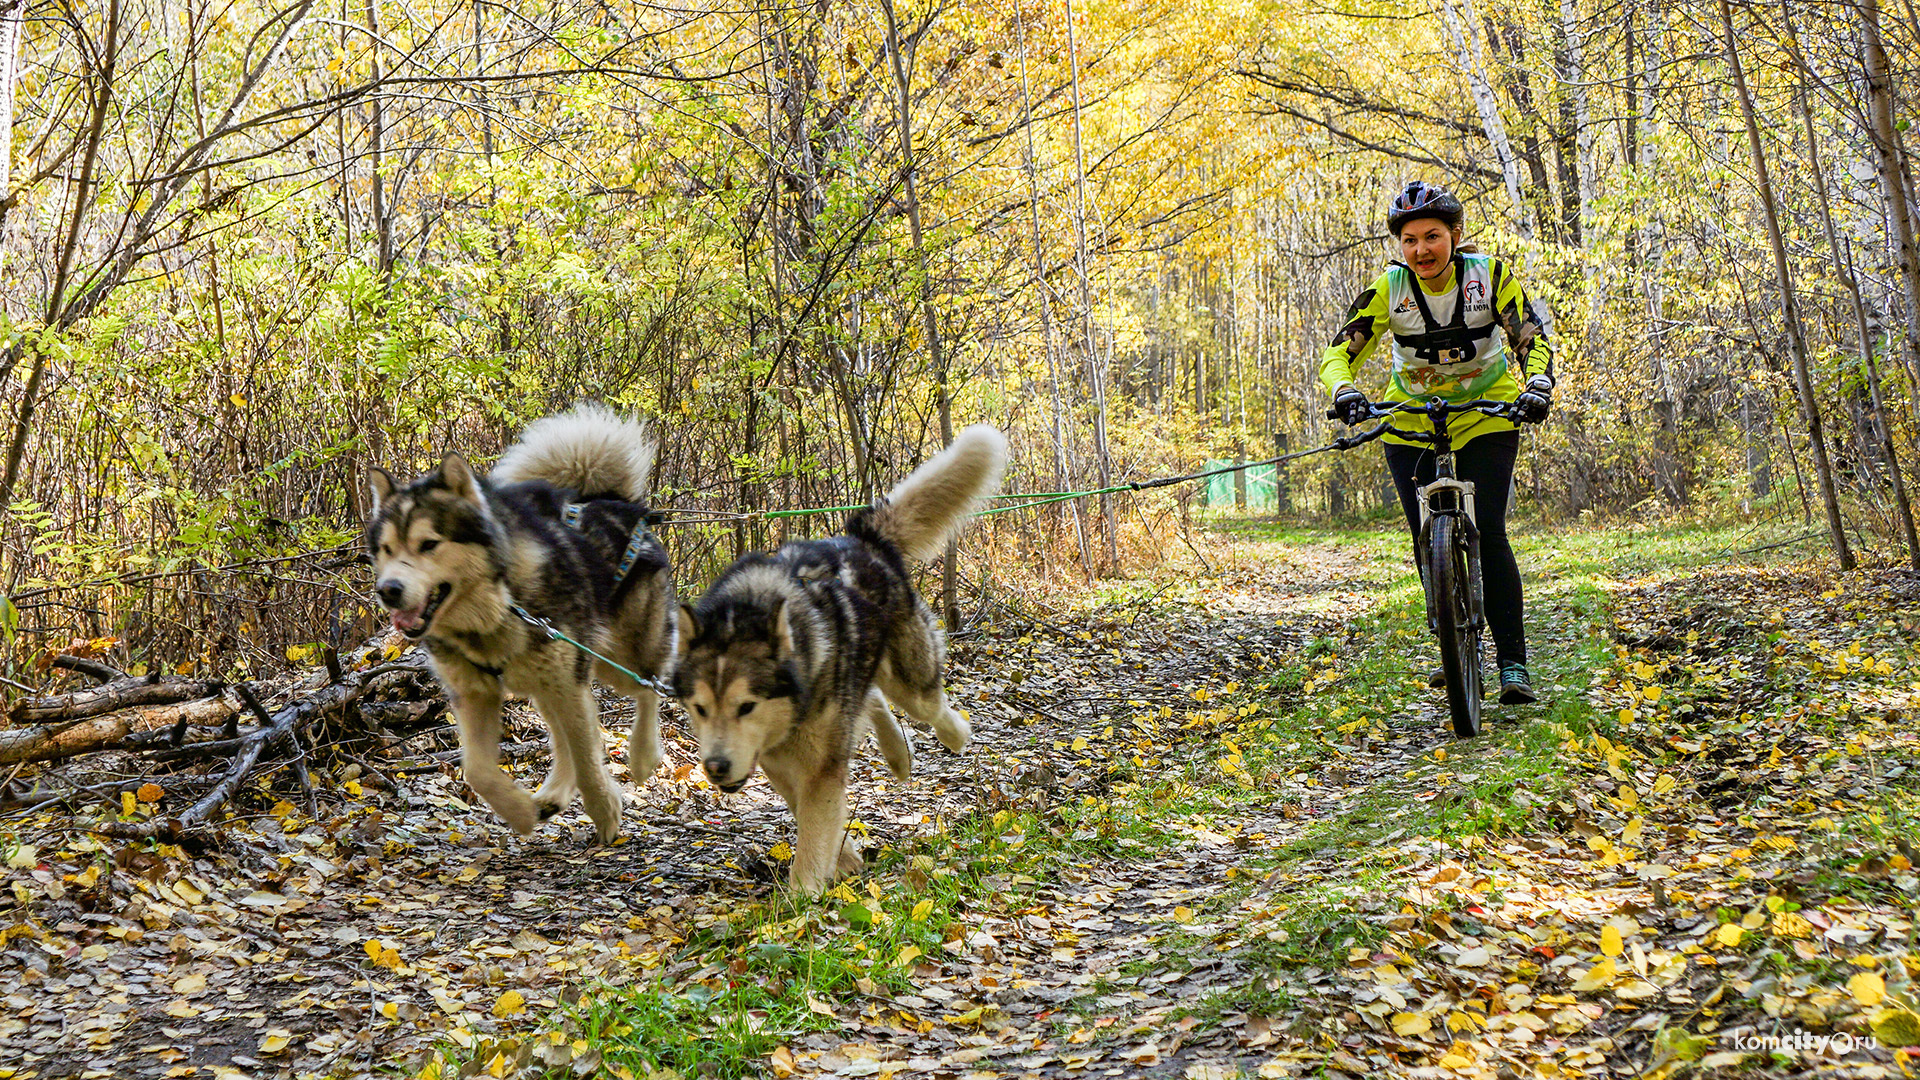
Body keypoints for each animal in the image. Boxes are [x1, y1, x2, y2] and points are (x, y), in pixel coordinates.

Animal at [362, 403, 679, 841]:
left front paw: (605, 812)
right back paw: (553, 794)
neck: (495, 606)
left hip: (616, 660)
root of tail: (616, 502)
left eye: (429, 544)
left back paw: (643, 754)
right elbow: (477, 771)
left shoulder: (567, 682)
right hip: (545, 682)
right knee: (563, 736)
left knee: (648, 686)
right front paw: (520, 813)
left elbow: (588, 757)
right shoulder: (474, 693)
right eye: (387, 549)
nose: (388, 590)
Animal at [672, 424, 1006, 887]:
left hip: (910, 680)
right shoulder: (777, 761)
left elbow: (814, 826)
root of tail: (861, 538)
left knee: (927, 704)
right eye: (700, 709)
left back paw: (953, 734)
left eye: (746, 706)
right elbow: (809, 814)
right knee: (873, 698)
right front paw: (843, 858)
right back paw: (898, 754)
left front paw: (802, 893)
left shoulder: (820, 765)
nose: (716, 766)